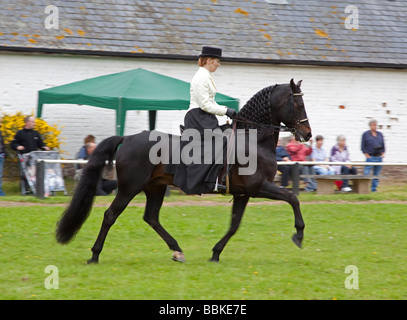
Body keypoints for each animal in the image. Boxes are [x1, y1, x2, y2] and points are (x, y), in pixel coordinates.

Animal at [56, 79, 312, 264]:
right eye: (299, 105)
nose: (308, 134)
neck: (253, 139)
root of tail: (127, 138)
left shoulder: (243, 193)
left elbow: (234, 224)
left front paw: (215, 253)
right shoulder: (259, 188)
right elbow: (293, 198)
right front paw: (299, 234)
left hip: (155, 187)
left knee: (151, 217)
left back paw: (177, 250)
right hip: (129, 188)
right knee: (111, 215)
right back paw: (95, 255)